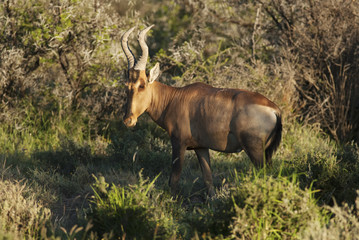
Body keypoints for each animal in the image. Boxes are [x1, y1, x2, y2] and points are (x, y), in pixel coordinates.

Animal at [122, 25, 282, 195]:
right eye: (126, 85)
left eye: (142, 85)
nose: (128, 120)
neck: (175, 98)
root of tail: (274, 109)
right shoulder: (201, 147)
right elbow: (208, 179)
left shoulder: (179, 143)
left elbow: (174, 179)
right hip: (266, 151)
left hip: (255, 150)